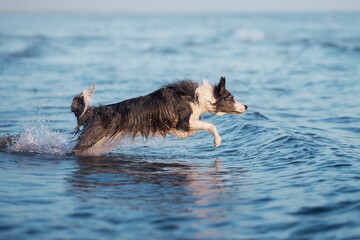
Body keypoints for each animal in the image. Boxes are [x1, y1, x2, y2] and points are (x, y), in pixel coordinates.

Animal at [70, 76, 246, 156]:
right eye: (231, 98)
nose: (246, 106)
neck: (200, 97)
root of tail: (96, 110)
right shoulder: (185, 120)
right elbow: (211, 125)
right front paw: (217, 141)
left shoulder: (173, 123)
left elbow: (182, 131)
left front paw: (185, 135)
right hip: (91, 138)